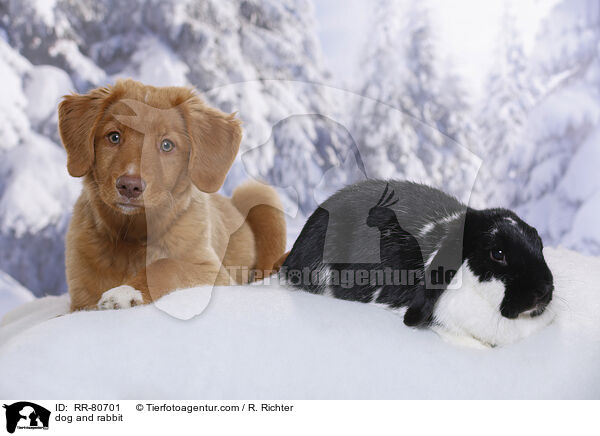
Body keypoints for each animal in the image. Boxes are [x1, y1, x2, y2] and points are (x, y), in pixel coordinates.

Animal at [58, 79, 286, 310]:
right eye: (114, 137)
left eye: (167, 145)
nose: (129, 186)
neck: (131, 235)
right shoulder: (80, 302)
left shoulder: (214, 272)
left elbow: (167, 265)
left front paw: (126, 291)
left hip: (260, 194)